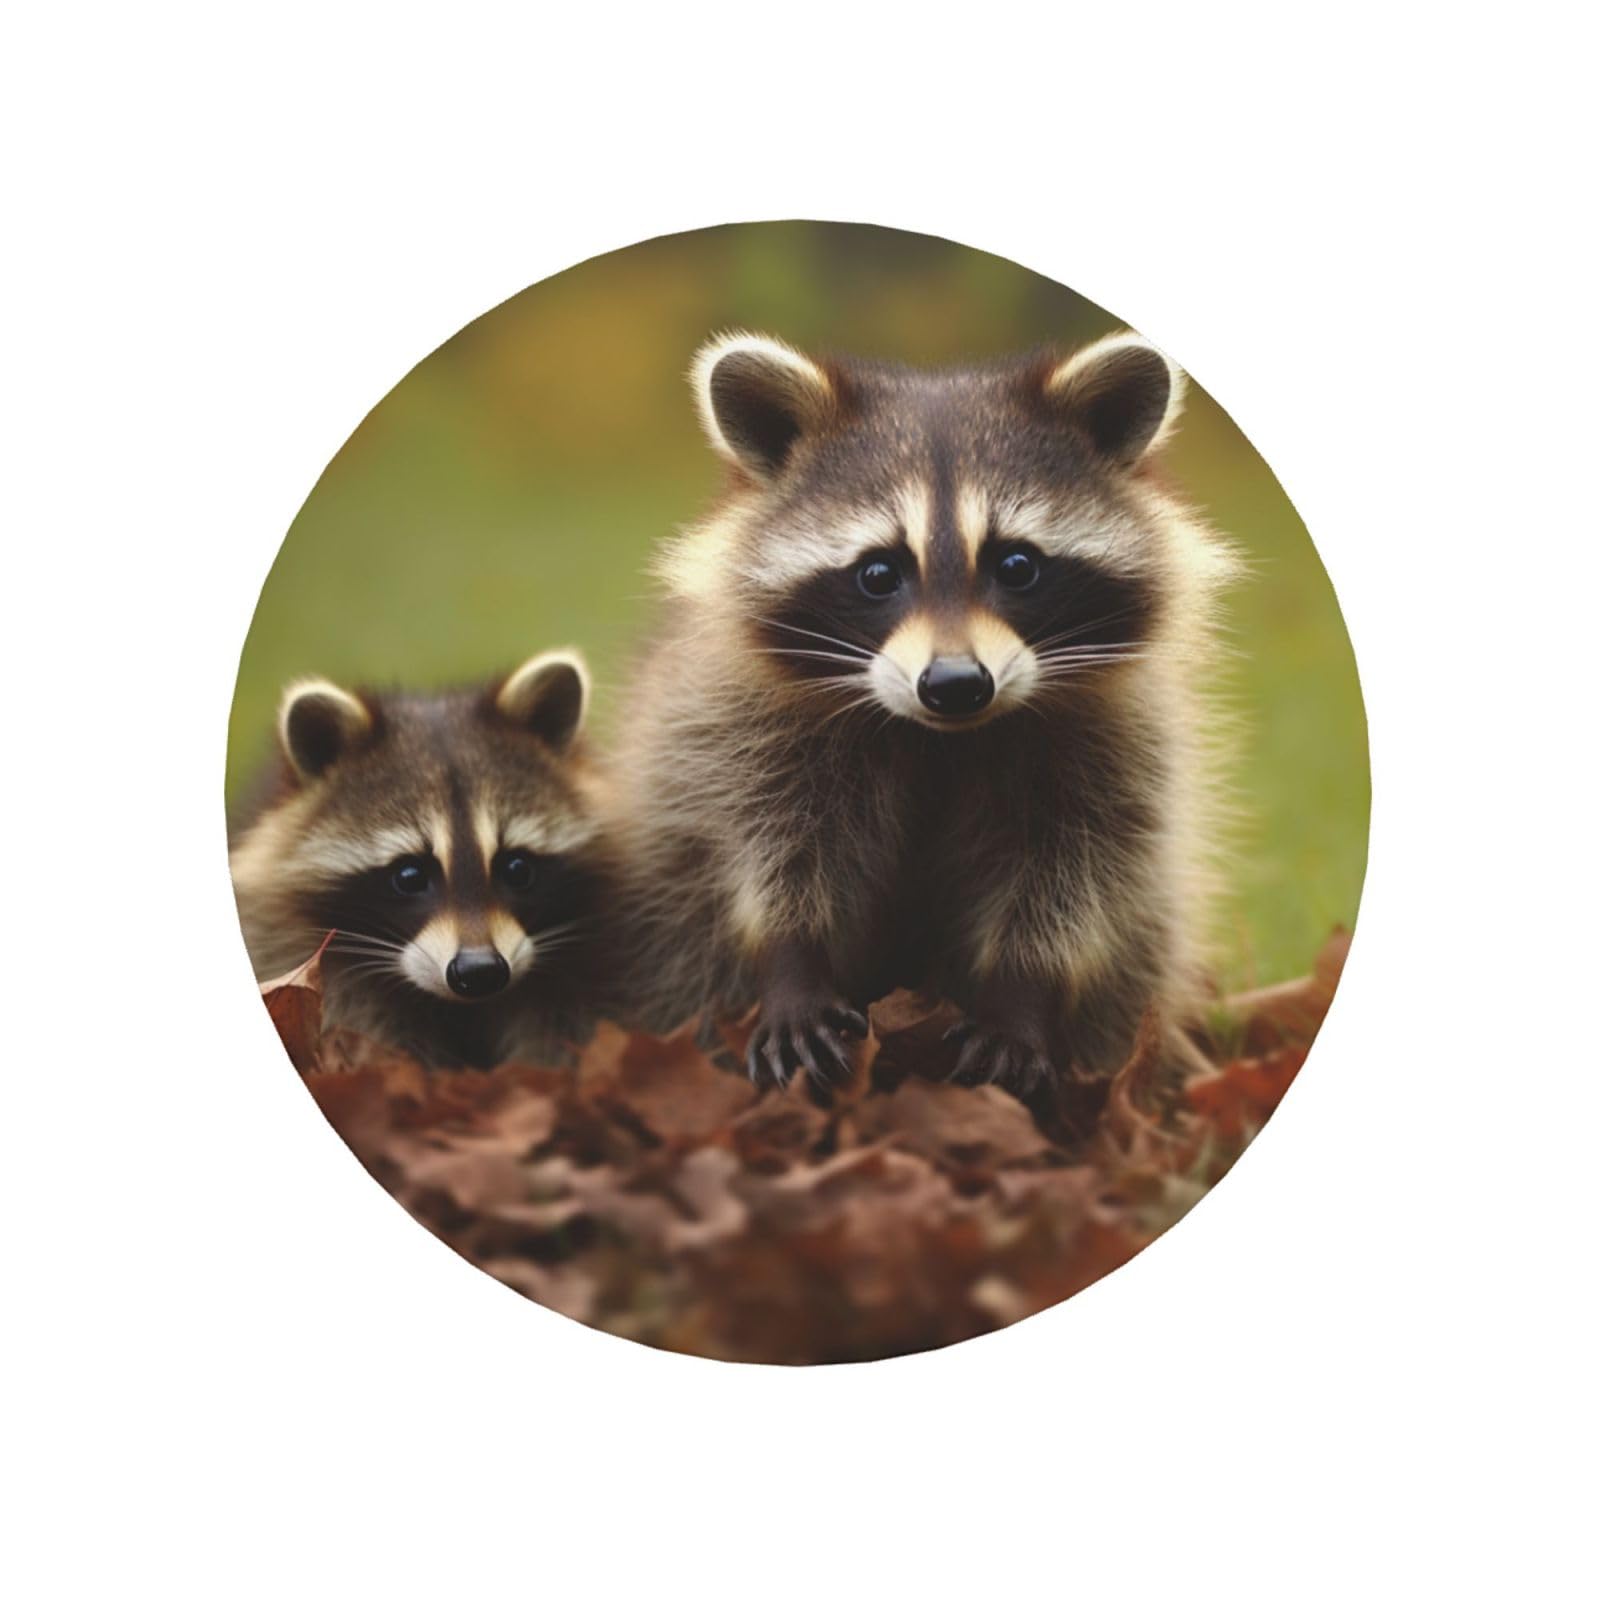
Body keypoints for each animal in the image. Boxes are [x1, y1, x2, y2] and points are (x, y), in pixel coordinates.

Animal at [611, 330, 1238, 1091]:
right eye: (879, 573)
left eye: (1017, 566)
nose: (956, 684)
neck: (939, 736)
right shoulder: (736, 725)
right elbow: (769, 845)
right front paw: (791, 962)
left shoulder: (1114, 738)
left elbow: (1074, 871)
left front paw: (1020, 995)